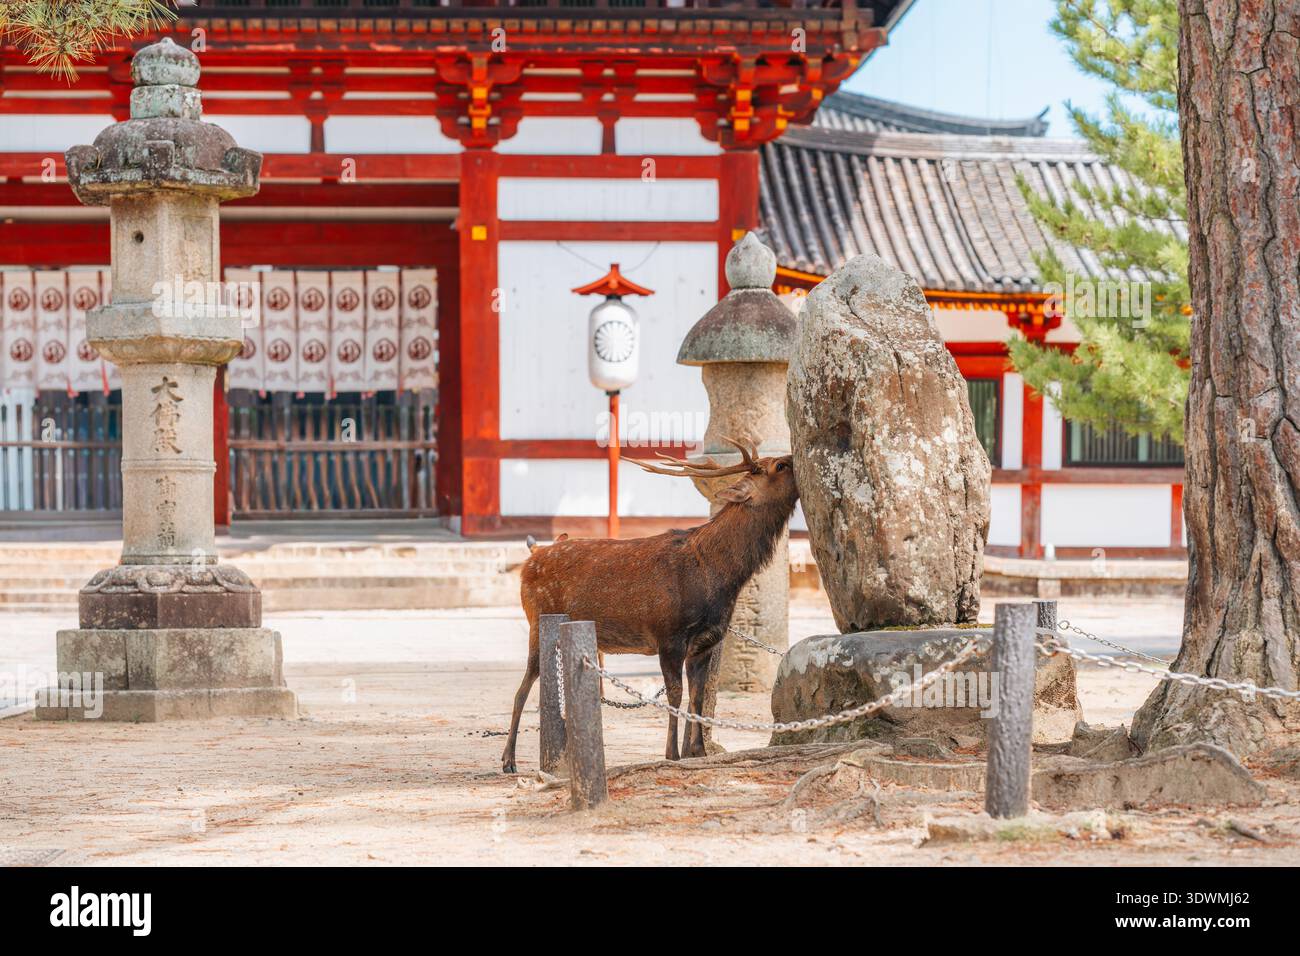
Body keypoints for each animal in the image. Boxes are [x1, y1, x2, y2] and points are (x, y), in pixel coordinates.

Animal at [501, 437, 798, 773]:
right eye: (779, 466)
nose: (794, 457)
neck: (719, 578)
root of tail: (532, 556)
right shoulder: (669, 635)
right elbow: (676, 695)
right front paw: (671, 754)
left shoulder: (705, 642)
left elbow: (698, 697)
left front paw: (699, 751)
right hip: (537, 621)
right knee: (521, 690)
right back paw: (509, 760)